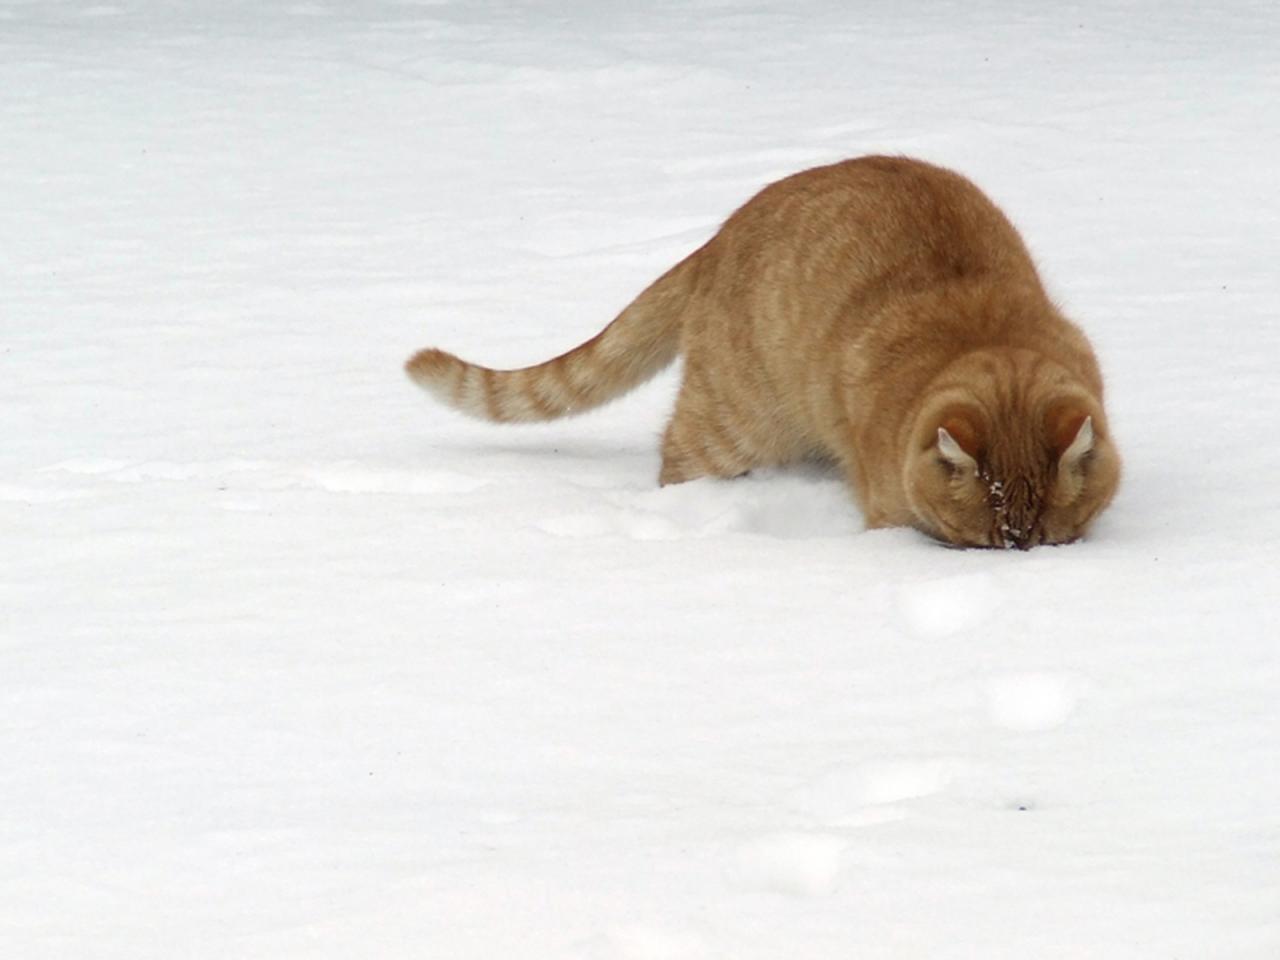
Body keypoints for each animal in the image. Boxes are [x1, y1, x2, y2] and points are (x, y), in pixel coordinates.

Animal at [404, 156, 1116, 547]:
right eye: (979, 543)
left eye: (1047, 541)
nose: (1018, 561)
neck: (984, 334)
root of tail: (720, 235)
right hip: (734, 426)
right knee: (677, 454)